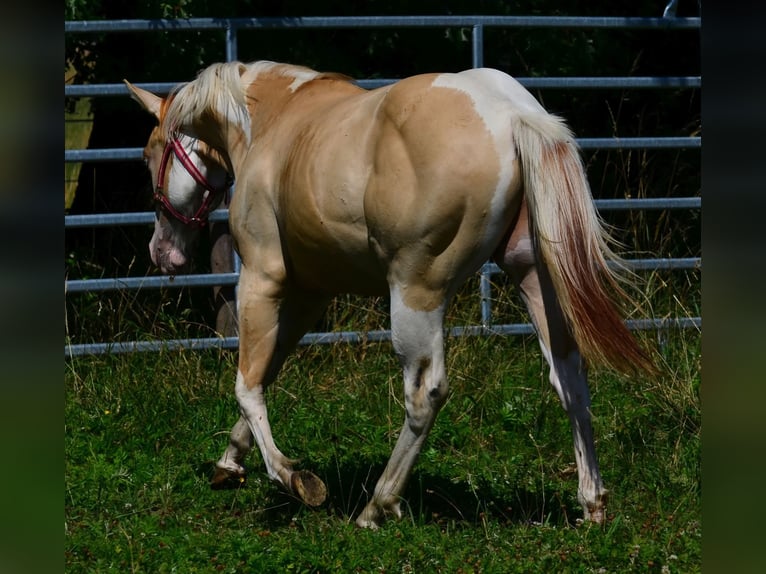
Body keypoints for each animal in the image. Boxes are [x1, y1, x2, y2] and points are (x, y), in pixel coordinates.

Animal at [125, 60, 654, 529]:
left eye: (150, 155)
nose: (161, 253)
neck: (271, 125)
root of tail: (512, 113)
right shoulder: (310, 294)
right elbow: (268, 369)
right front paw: (229, 463)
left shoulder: (262, 278)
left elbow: (247, 384)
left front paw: (292, 477)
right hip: (535, 280)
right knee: (570, 378)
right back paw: (592, 504)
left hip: (415, 294)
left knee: (425, 394)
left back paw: (377, 506)